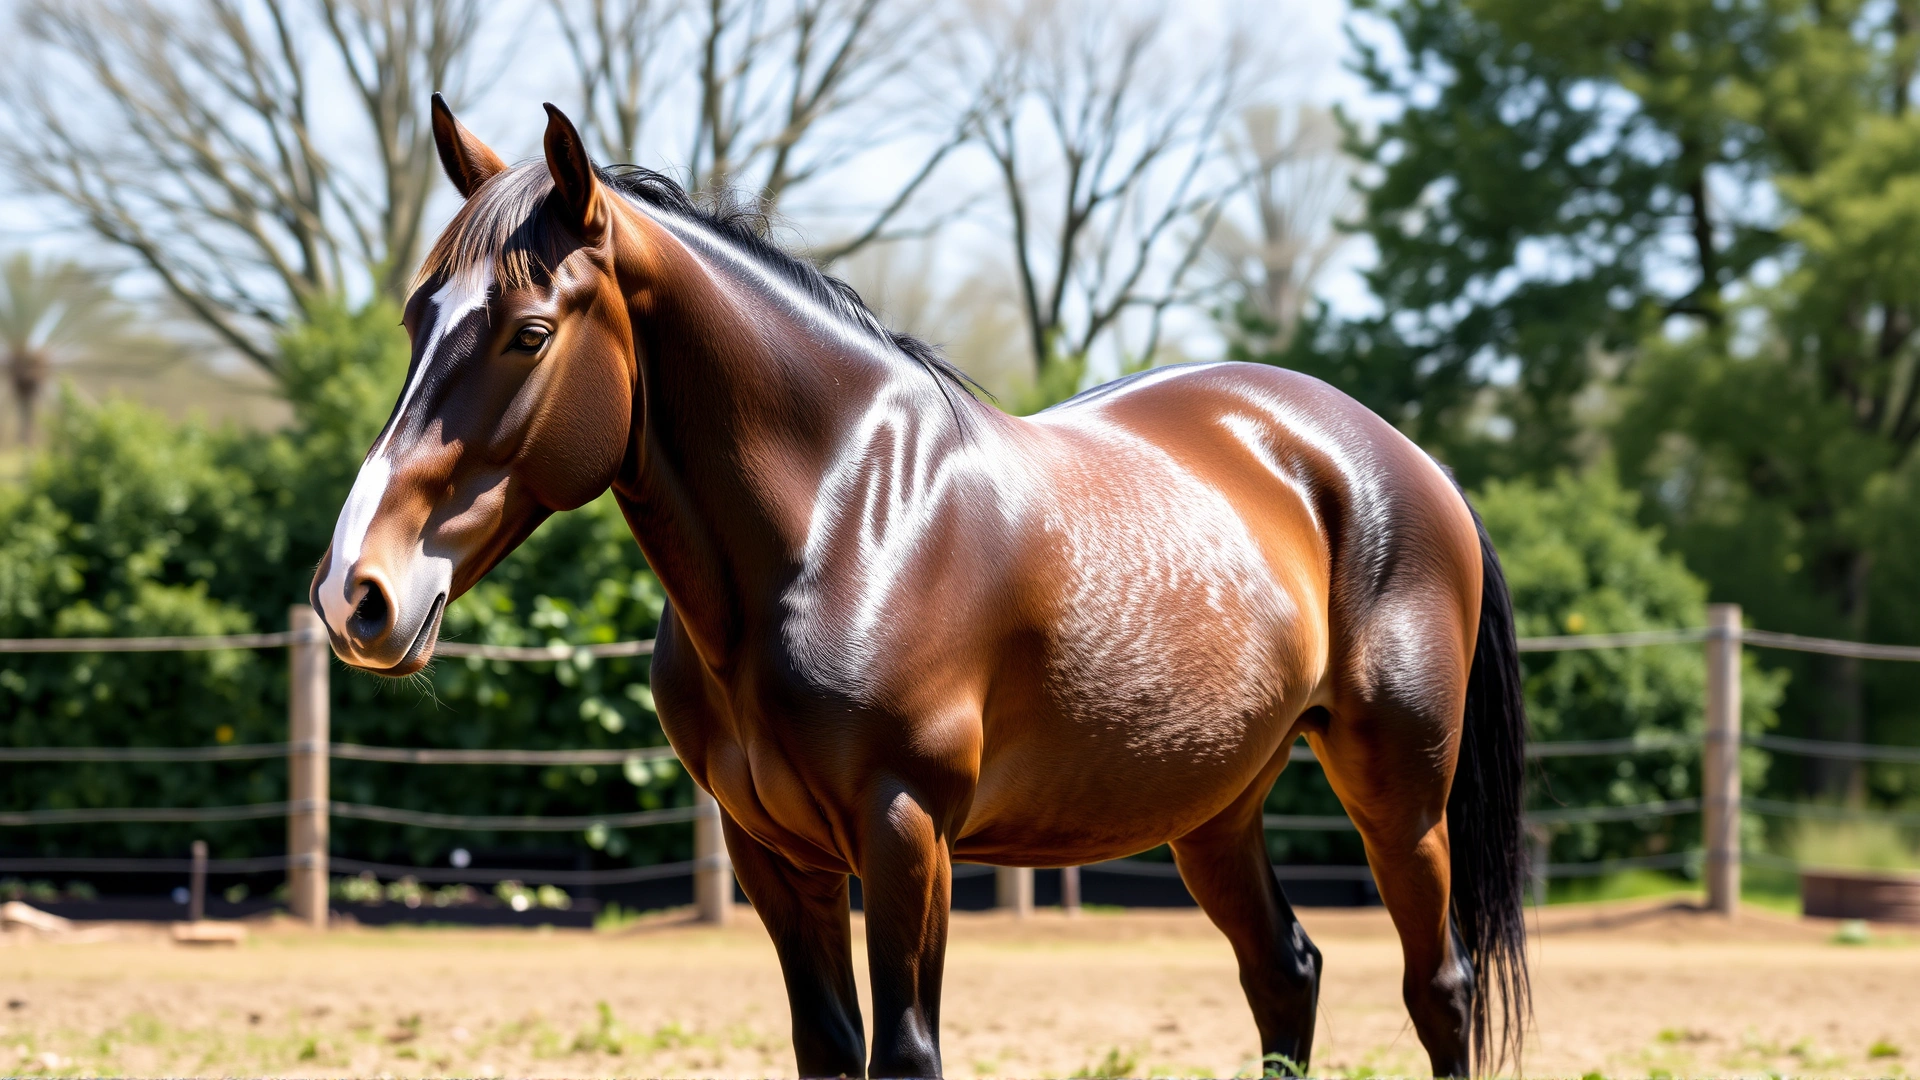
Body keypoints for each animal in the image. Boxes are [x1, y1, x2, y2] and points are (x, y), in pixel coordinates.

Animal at [310, 97, 1530, 1079]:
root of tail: (1407, 462)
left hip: (1399, 792)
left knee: (1438, 988)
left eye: (527, 333)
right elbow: (828, 1046)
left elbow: (905, 1052)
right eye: (419, 316)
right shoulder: (774, 857)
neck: (842, 522)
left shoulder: (906, 836)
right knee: (1285, 972)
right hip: (1214, 805)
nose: (355, 593)